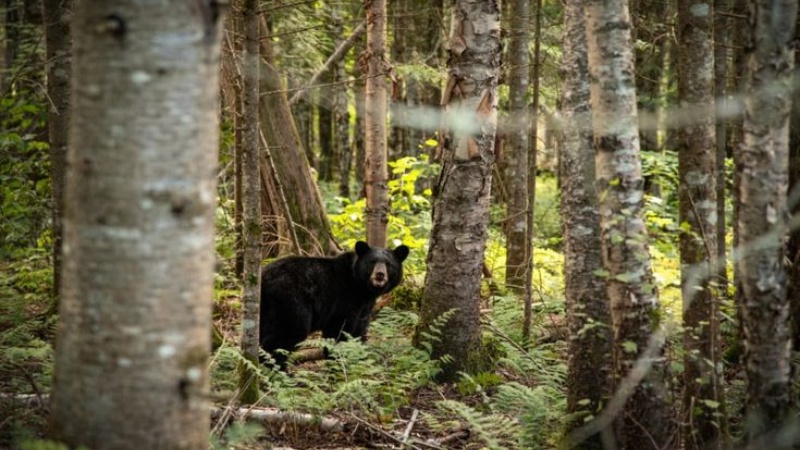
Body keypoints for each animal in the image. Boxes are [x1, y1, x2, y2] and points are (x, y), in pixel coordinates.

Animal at [259, 241, 409, 369]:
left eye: (388, 264)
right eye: (372, 262)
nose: (380, 274)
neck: (361, 288)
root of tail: (264, 277)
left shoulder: (364, 307)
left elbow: (359, 330)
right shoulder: (343, 299)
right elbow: (339, 331)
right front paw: (338, 362)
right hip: (291, 302)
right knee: (287, 334)